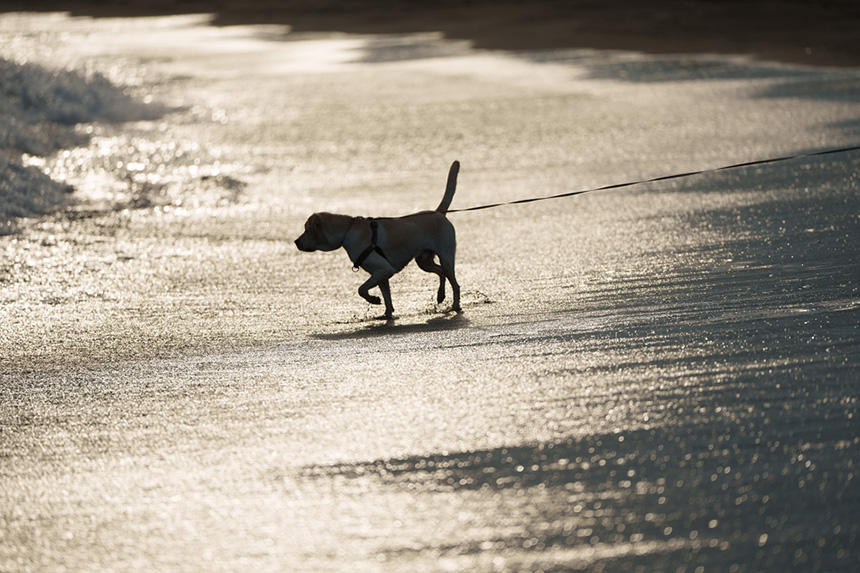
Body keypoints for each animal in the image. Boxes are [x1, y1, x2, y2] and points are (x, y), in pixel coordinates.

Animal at [296, 161, 460, 320]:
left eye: (306, 229)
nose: (295, 242)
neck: (347, 230)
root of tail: (439, 212)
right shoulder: (381, 275)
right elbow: (387, 296)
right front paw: (387, 314)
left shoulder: (383, 270)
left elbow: (361, 289)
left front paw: (374, 300)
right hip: (424, 261)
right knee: (441, 273)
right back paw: (440, 295)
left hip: (446, 258)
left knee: (454, 283)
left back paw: (456, 306)